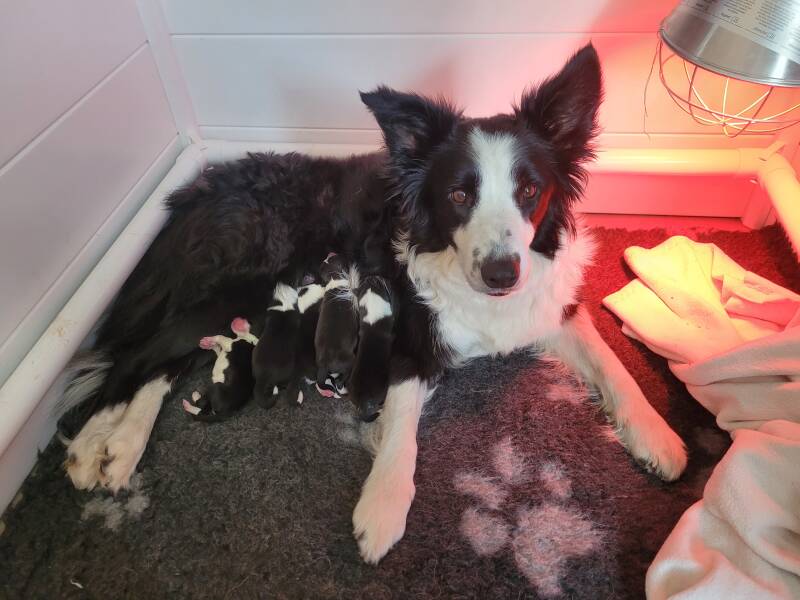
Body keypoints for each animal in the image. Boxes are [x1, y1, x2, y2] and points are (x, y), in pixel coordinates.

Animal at [60, 44, 687, 563]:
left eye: (529, 190)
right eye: (459, 194)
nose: (502, 274)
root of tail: (205, 181)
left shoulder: (549, 304)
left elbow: (611, 363)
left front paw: (657, 436)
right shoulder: (409, 338)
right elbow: (402, 428)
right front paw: (382, 510)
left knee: (164, 360)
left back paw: (114, 445)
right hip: (234, 283)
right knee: (137, 355)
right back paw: (95, 443)